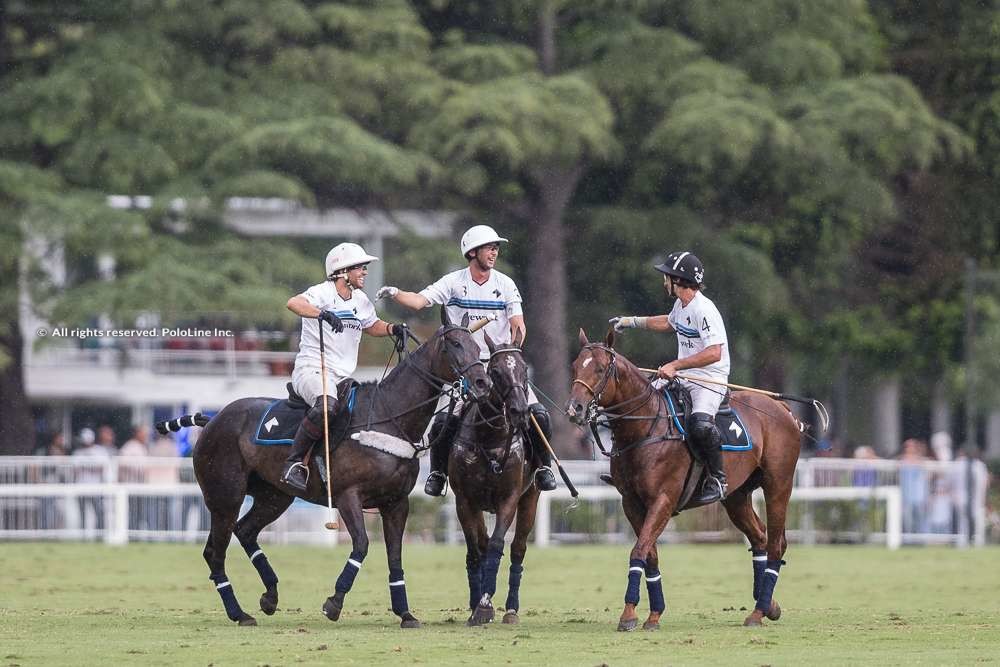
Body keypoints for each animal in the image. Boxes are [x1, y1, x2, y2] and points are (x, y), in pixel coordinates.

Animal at [448, 336, 544, 628]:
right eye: (496, 372)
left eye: (524, 370)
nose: (520, 411)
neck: (490, 438)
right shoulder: (464, 500)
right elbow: (475, 549)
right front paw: (477, 604)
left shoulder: (509, 498)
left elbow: (497, 544)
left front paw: (485, 604)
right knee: (479, 545)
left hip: (531, 497)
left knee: (518, 548)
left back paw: (512, 609)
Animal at [568, 332, 800, 636]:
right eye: (574, 366)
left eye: (599, 369)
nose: (575, 409)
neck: (644, 429)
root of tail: (783, 408)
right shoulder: (631, 503)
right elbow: (650, 554)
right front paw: (653, 615)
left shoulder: (663, 500)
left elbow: (638, 550)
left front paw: (628, 615)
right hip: (737, 497)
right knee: (759, 537)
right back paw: (768, 605)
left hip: (778, 485)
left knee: (775, 544)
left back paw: (758, 612)